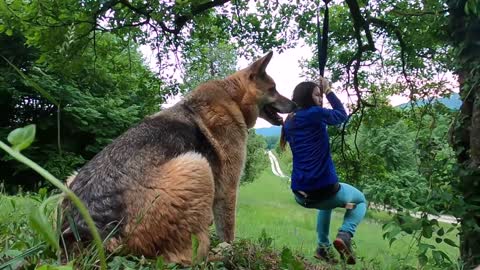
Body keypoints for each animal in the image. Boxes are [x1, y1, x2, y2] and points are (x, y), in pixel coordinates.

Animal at [62, 51, 296, 264]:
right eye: (273, 89)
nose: (294, 104)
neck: (232, 97)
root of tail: (87, 236)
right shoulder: (227, 189)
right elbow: (228, 231)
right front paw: (231, 250)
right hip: (197, 166)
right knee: (185, 257)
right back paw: (215, 254)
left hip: (69, 179)